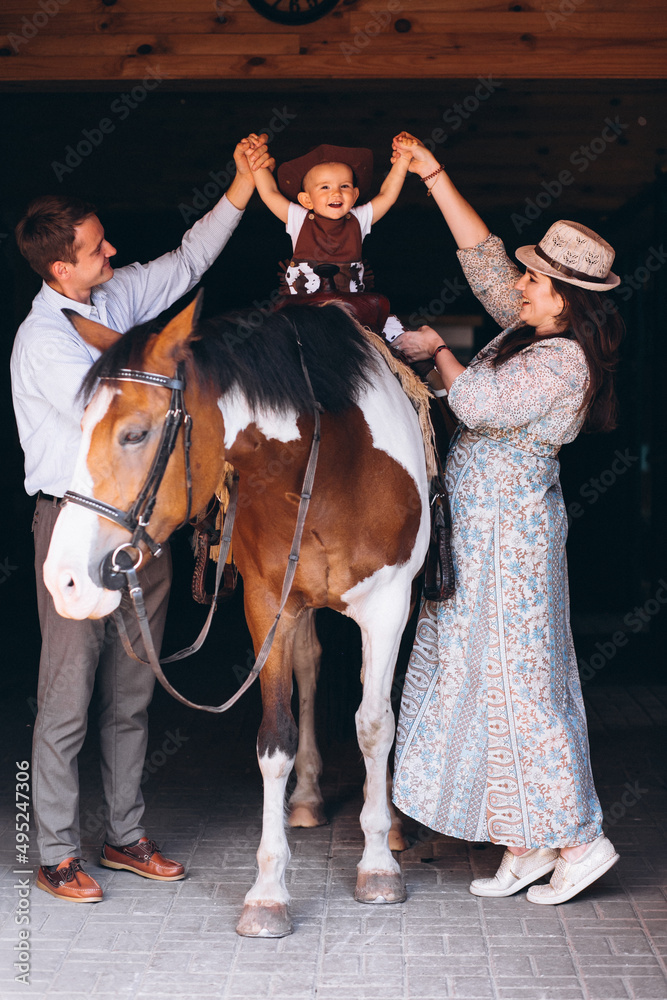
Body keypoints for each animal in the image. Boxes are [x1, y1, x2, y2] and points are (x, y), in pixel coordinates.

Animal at [44, 298, 430, 936]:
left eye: (135, 433)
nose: (64, 580)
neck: (333, 460)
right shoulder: (268, 603)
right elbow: (274, 739)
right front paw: (268, 892)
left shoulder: (389, 603)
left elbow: (375, 724)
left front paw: (377, 863)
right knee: (310, 667)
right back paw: (308, 797)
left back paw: (395, 825)